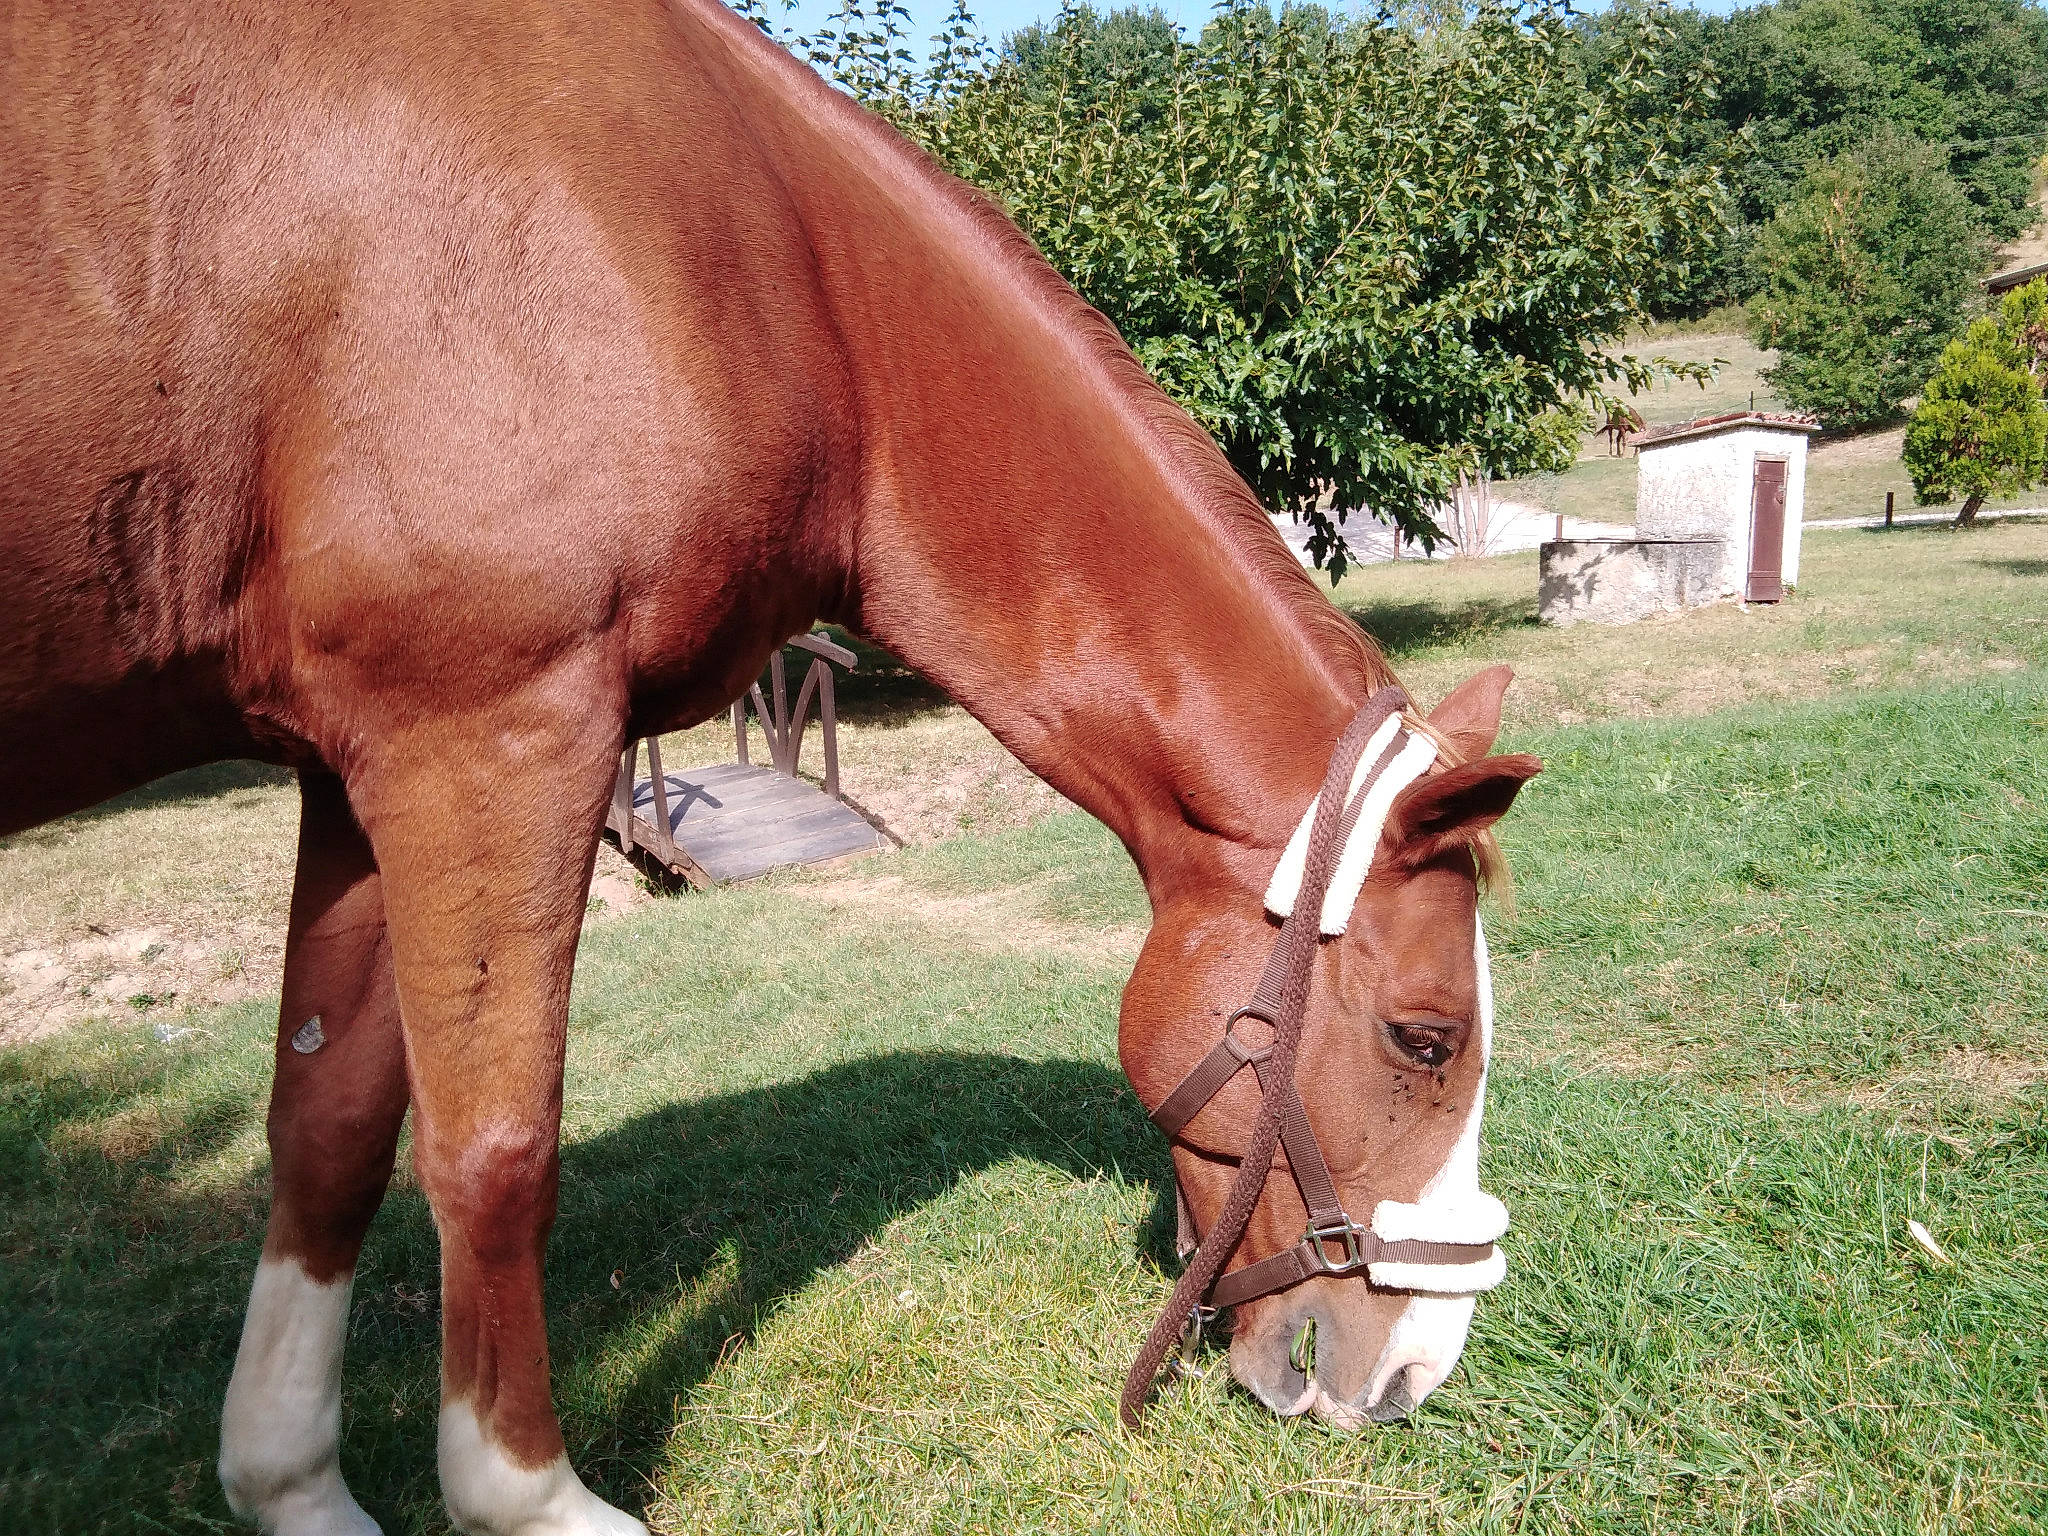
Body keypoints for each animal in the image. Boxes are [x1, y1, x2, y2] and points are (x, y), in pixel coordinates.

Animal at [0, 2, 1541, 1530]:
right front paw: (524, 1493)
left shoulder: (359, 763)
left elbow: (330, 1128)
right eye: (1424, 1038)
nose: (1414, 1371)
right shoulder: (490, 737)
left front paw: (290, 1483)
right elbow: (493, 1151)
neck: (776, 262)